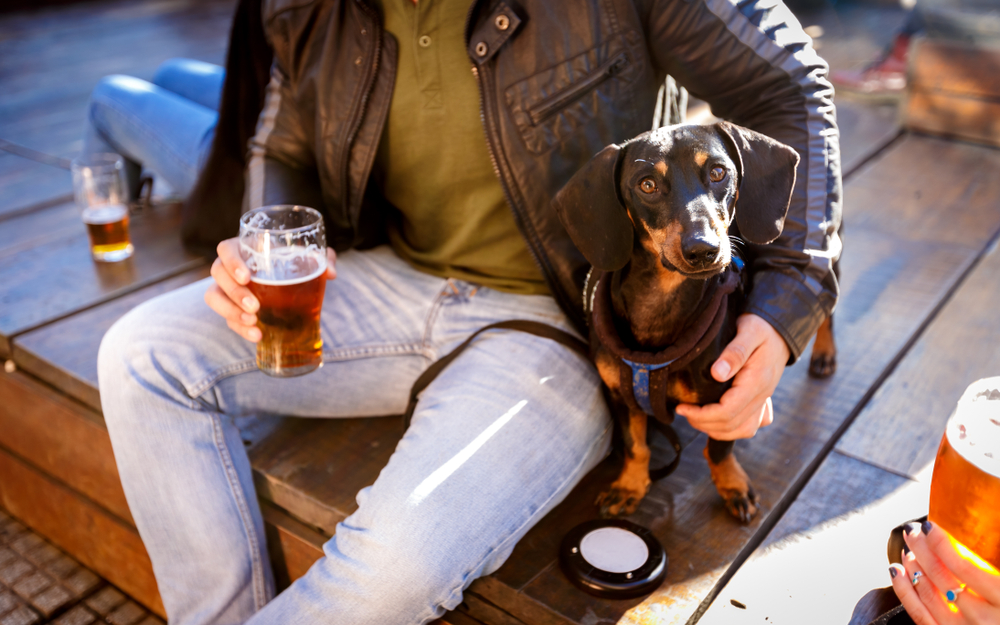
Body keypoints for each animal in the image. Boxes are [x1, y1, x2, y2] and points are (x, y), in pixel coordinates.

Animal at [556, 122, 836, 520]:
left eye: (718, 172)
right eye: (647, 184)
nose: (703, 250)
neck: (660, 303)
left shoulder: (725, 397)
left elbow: (719, 448)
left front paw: (732, 485)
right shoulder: (620, 395)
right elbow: (635, 445)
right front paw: (629, 486)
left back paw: (825, 353)